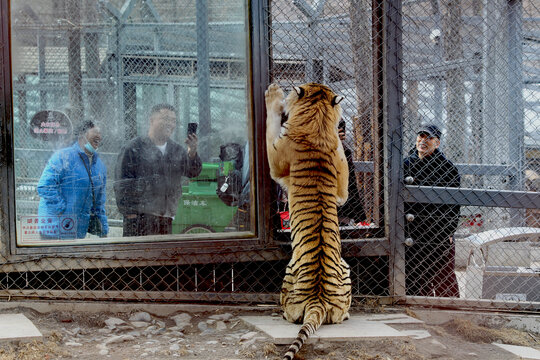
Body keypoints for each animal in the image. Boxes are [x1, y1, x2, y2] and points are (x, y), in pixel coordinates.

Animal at [264, 83, 350, 358]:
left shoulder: (275, 160)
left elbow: (270, 125)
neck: (318, 119)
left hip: (288, 274)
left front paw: (273, 94)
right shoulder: (342, 191)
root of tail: (318, 300)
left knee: (290, 314)